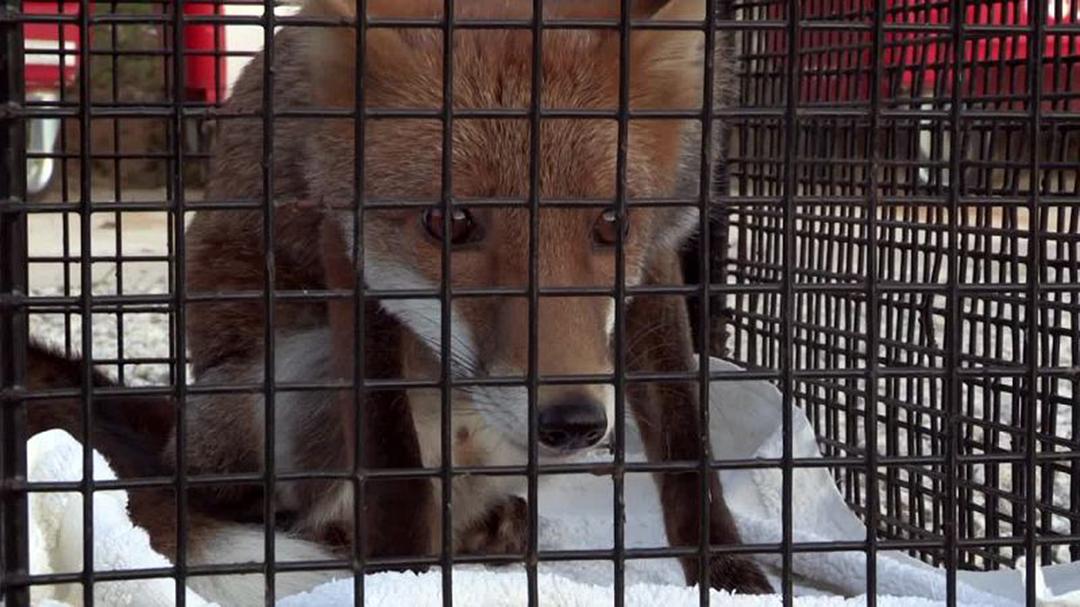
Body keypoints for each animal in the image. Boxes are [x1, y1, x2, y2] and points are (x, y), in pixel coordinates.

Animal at [25, 0, 772, 603]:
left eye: (614, 224)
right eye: (450, 222)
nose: (572, 422)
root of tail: (176, 432)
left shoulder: (662, 253)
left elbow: (686, 446)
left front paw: (730, 575)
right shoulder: (345, 244)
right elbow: (392, 463)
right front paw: (403, 579)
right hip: (296, 376)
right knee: (282, 514)